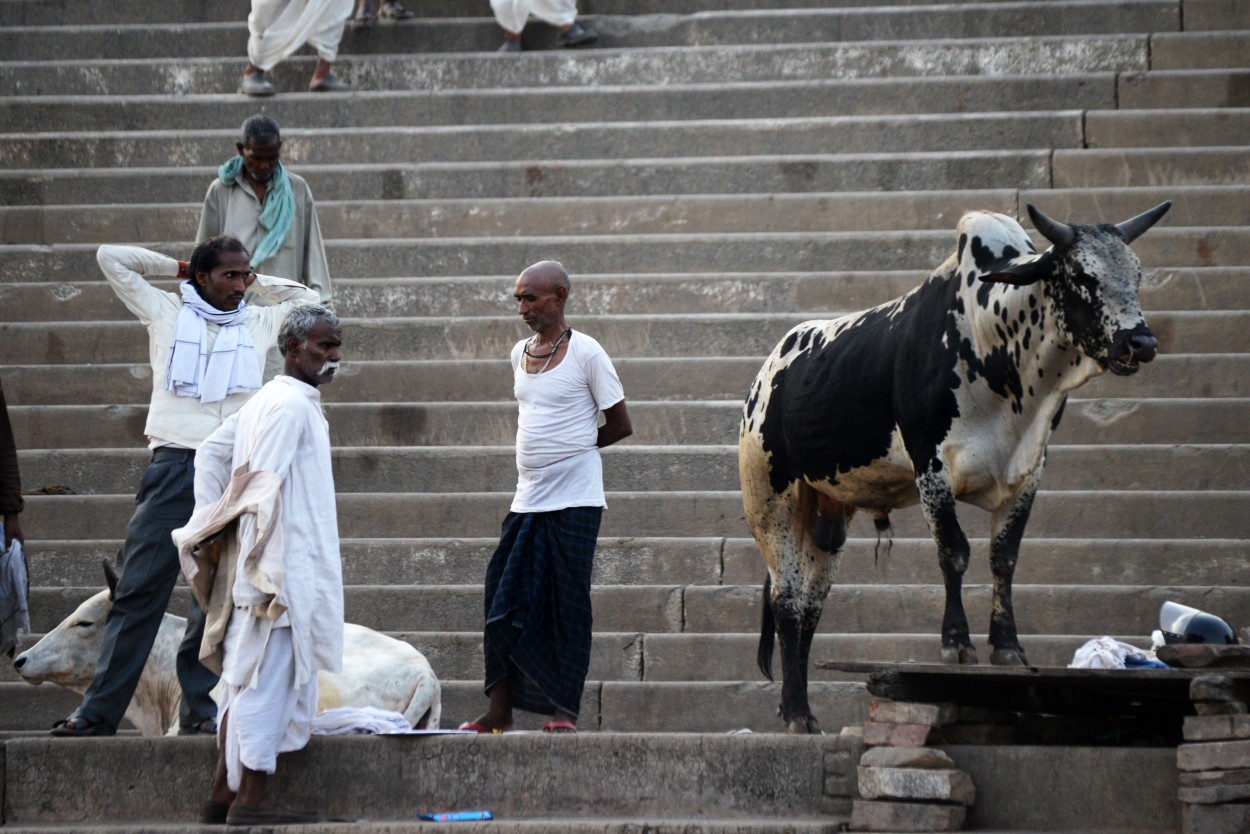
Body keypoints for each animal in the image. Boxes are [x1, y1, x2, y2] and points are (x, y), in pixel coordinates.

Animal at [735, 202, 1165, 730]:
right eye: (1083, 275)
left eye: (1137, 273)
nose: (1141, 342)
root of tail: (768, 370)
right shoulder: (932, 469)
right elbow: (954, 552)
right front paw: (956, 644)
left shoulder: (1029, 473)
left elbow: (1004, 558)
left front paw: (1008, 647)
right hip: (770, 502)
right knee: (787, 601)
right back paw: (797, 711)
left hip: (828, 516)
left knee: (811, 605)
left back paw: (799, 709)